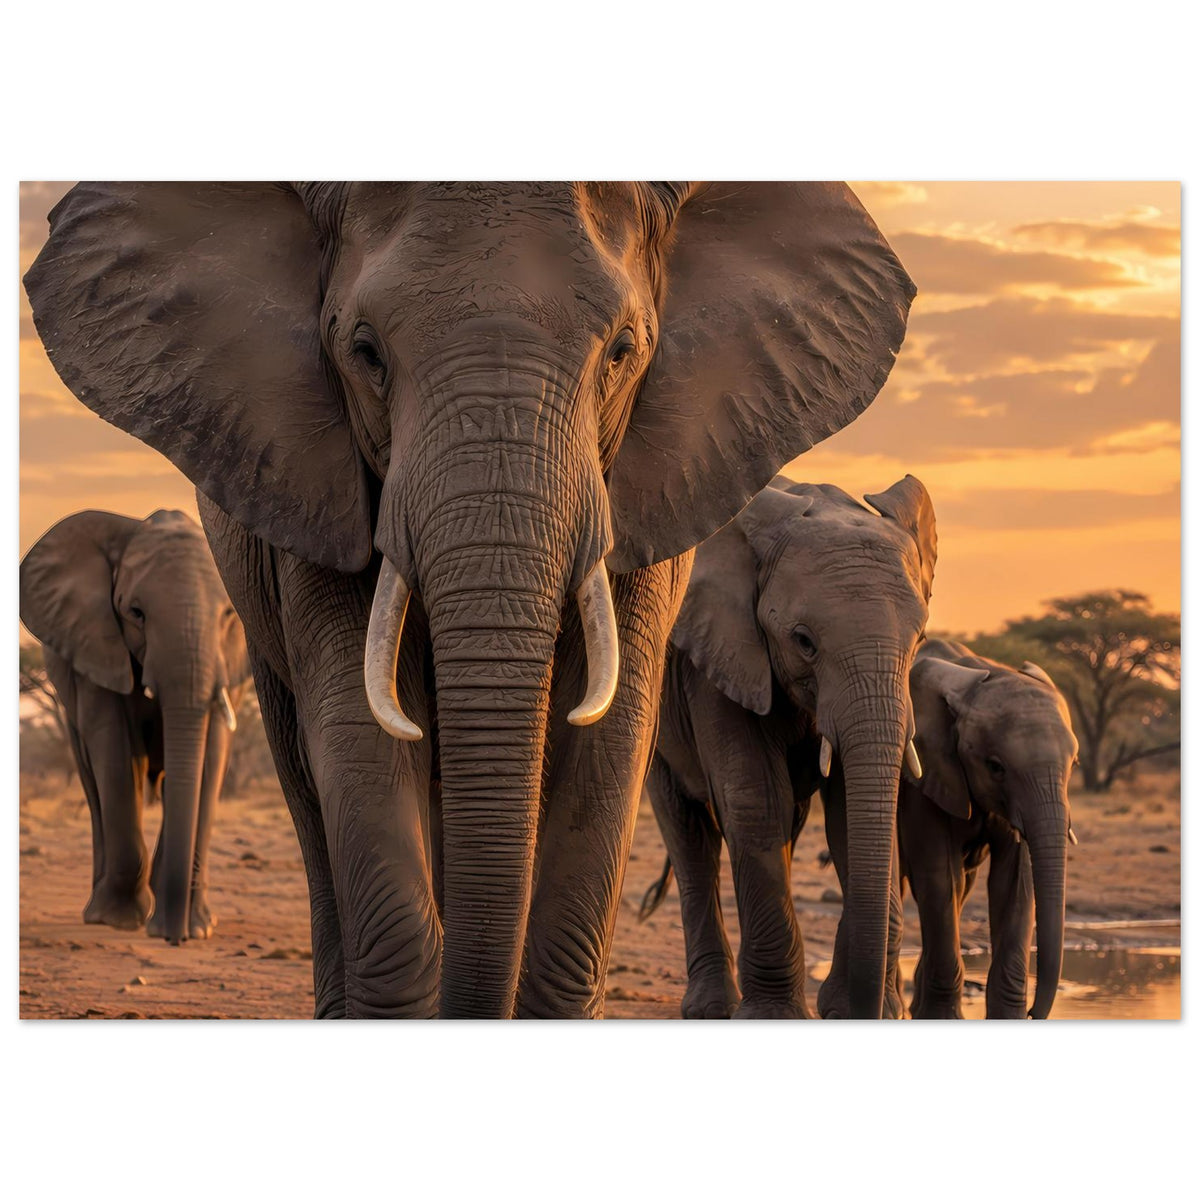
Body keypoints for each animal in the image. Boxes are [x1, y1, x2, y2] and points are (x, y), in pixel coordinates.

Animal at [19, 509, 250, 944]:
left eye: (230, 614)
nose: (174, 937)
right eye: (136, 613)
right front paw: (120, 920)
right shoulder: (94, 643)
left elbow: (212, 752)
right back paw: (97, 911)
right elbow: (114, 748)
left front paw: (199, 928)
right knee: (93, 778)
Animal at [640, 475, 936, 1018]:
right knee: (689, 832)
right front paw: (773, 1016)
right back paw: (710, 1009)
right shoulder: (719, 656)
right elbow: (755, 800)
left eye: (920, 637)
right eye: (803, 641)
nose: (870, 1009)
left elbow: (849, 812)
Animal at [897, 639, 1078, 1018]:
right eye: (996, 767)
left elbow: (1015, 883)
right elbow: (939, 875)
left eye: (1074, 765)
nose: (1033, 1013)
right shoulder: (925, 776)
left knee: (960, 888)